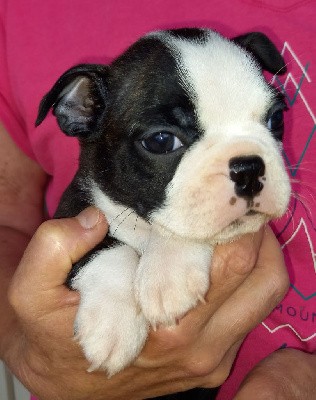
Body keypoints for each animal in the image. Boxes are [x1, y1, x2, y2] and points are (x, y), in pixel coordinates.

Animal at [35, 25, 290, 396]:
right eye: (161, 141)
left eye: (276, 118)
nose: (248, 168)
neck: (143, 229)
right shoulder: (71, 214)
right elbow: (108, 248)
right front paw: (112, 323)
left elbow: (182, 226)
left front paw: (168, 274)